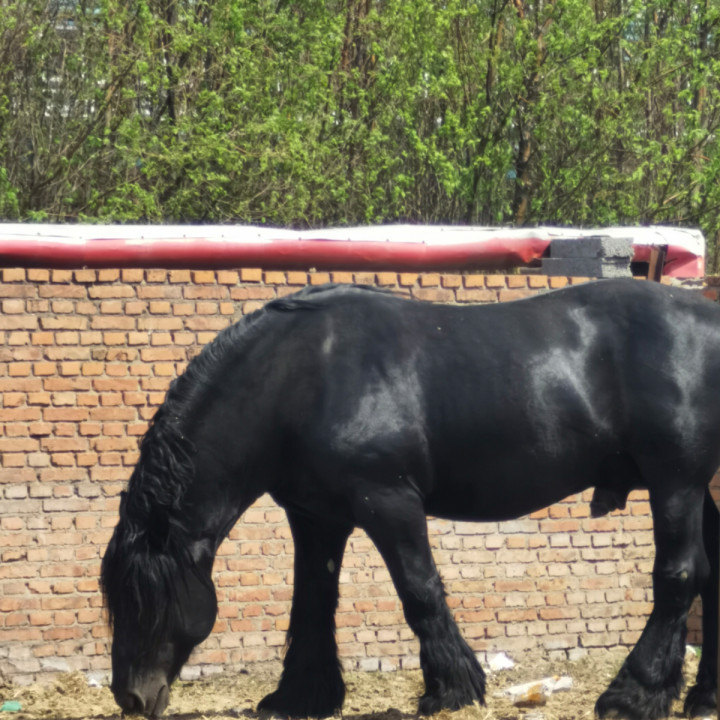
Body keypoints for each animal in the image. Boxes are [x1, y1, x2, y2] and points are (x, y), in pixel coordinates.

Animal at [101, 278, 720, 720]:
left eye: (145, 599)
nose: (130, 698)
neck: (301, 377)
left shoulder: (388, 500)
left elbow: (419, 591)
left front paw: (451, 689)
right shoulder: (316, 517)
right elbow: (313, 601)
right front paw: (300, 696)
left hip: (675, 482)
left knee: (678, 577)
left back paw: (632, 695)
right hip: (697, 489)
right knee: (710, 578)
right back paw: (700, 698)